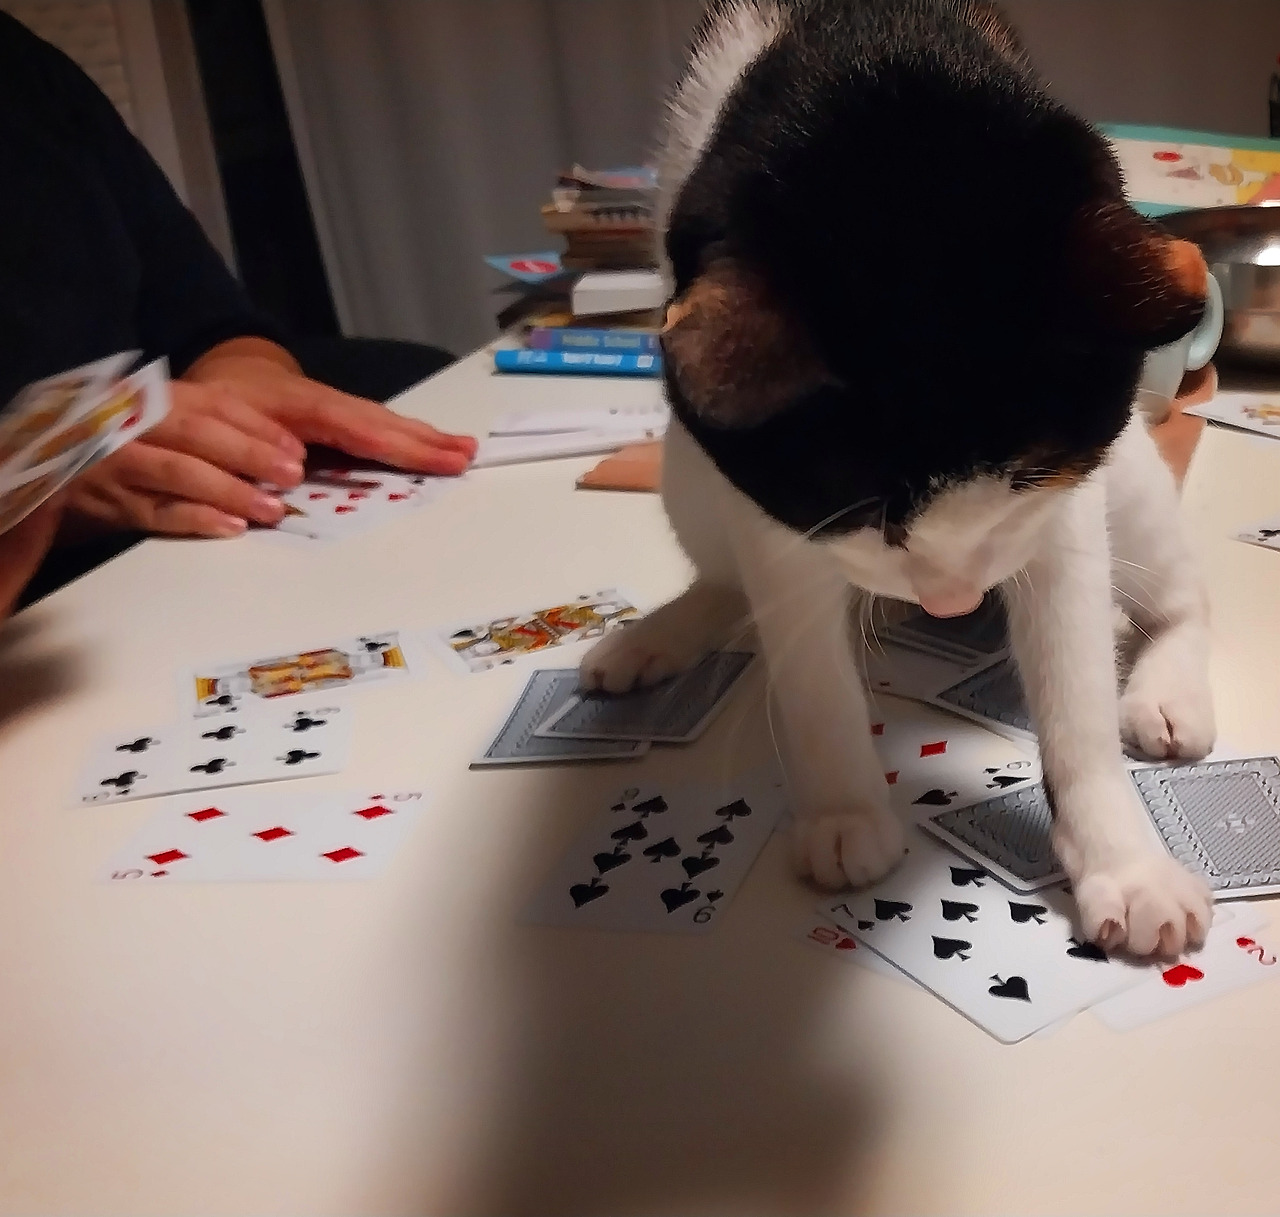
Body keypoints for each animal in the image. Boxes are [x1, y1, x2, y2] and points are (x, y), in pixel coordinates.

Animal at [580, 0, 1217, 957]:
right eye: (874, 520)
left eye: (1023, 486)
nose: (952, 602)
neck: (876, 52)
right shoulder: (770, 504)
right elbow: (808, 668)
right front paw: (843, 807)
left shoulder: (1067, 502)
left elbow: (1074, 689)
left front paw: (1122, 857)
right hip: (688, 468)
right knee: (723, 576)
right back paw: (658, 633)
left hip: (1133, 481)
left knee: (1180, 591)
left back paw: (1168, 684)